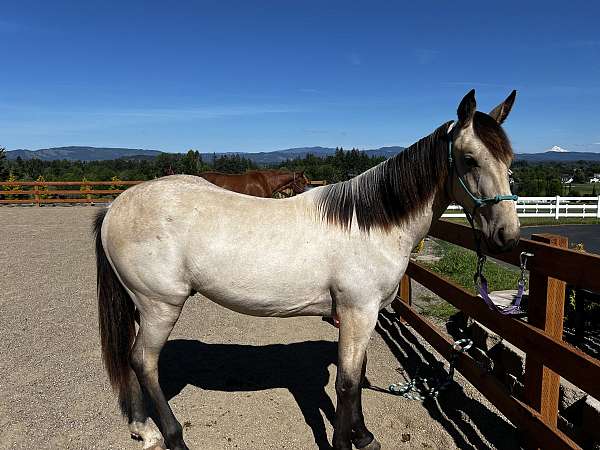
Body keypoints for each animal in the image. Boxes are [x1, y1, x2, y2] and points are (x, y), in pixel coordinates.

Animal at [94, 90, 520, 450]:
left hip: (144, 307)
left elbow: (358, 376)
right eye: (469, 159)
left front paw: (363, 436)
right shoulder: (357, 313)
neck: (370, 225)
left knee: (132, 360)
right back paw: (173, 437)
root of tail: (115, 207)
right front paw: (344, 442)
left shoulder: (363, 316)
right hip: (160, 306)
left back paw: (143, 430)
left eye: (510, 163)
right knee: (144, 362)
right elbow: (347, 384)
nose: (508, 237)